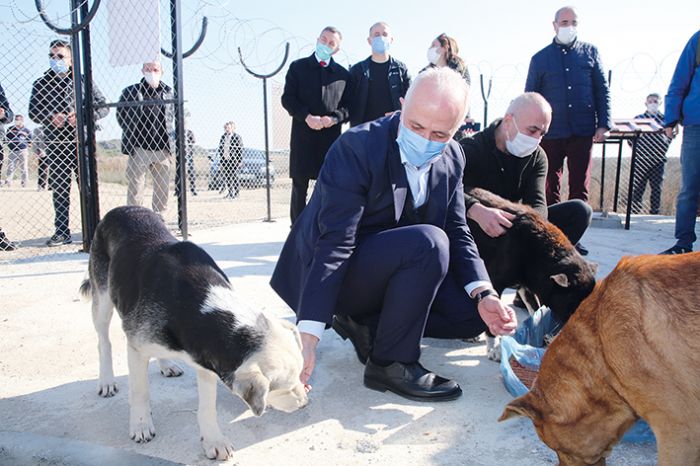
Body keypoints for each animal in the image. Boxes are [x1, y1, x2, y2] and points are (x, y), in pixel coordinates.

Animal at [80, 207, 308, 458]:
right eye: (283, 389)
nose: (305, 403)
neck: (196, 305)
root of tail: (122, 208)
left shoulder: (206, 361)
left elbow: (207, 407)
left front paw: (213, 440)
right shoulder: (137, 349)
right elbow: (140, 392)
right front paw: (141, 425)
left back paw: (166, 364)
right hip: (102, 297)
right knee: (104, 341)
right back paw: (107, 381)